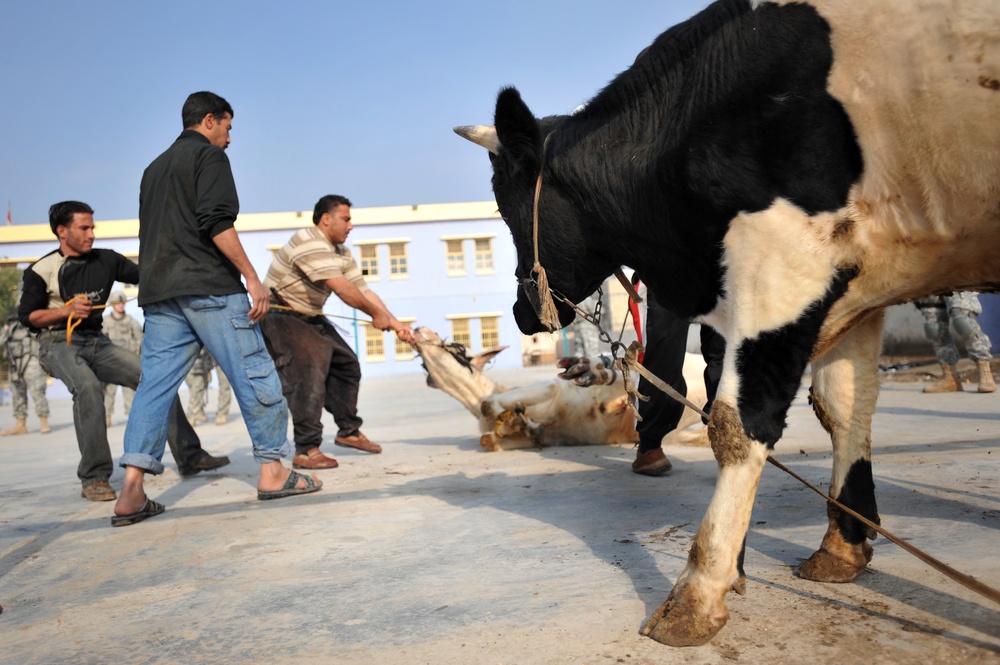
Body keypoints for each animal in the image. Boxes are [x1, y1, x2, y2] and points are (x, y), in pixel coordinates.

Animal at [410, 326, 708, 452]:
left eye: (457, 347)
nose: (416, 329)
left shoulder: (551, 387)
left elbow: (492, 405)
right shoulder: (554, 436)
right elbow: (491, 439)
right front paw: (520, 424)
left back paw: (600, 373)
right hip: (683, 429)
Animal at [458, 0, 1000, 644]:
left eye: (503, 206)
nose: (521, 312)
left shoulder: (786, 261)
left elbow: (739, 424)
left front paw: (699, 592)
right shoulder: (856, 279)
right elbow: (845, 407)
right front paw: (842, 546)